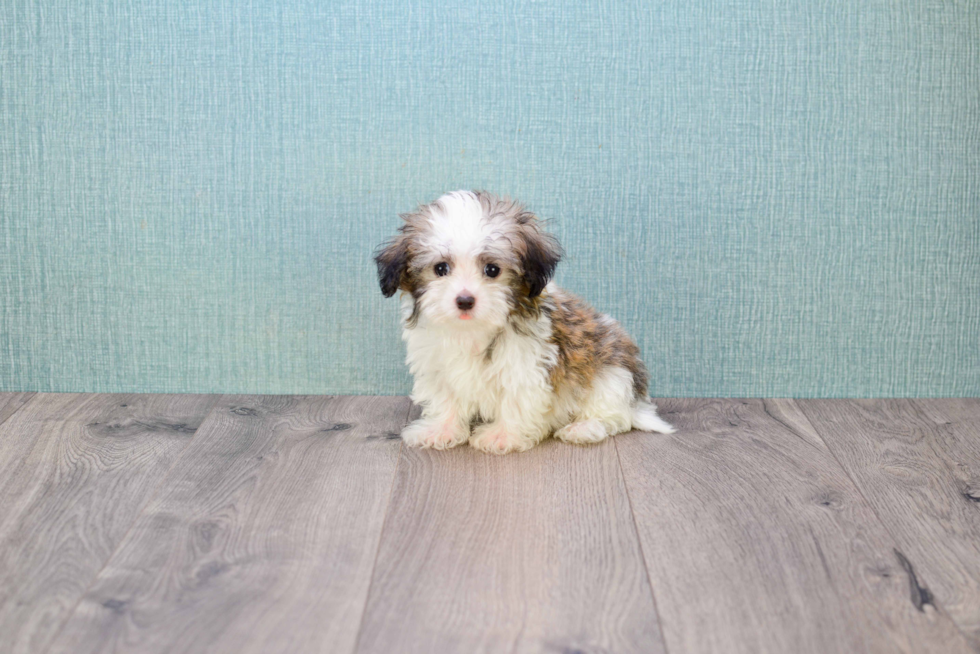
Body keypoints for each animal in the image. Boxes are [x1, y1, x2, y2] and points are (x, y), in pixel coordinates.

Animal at [376, 191, 672, 456]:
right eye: (440, 268)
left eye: (492, 270)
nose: (465, 300)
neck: (472, 331)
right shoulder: (437, 367)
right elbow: (446, 400)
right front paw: (441, 430)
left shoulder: (525, 365)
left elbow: (515, 400)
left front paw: (502, 436)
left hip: (612, 376)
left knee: (614, 416)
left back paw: (584, 427)